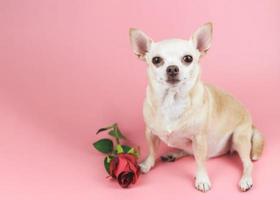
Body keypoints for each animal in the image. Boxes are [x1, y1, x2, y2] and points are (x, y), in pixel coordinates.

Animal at [129, 23, 264, 192]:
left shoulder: (199, 139)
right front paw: (147, 164)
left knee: (248, 163)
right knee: (187, 151)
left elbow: (200, 162)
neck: (172, 101)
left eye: (188, 58)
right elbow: (152, 151)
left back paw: (246, 179)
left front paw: (202, 180)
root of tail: (252, 125)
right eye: (156, 60)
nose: (172, 68)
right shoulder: (150, 133)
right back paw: (173, 154)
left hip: (239, 138)